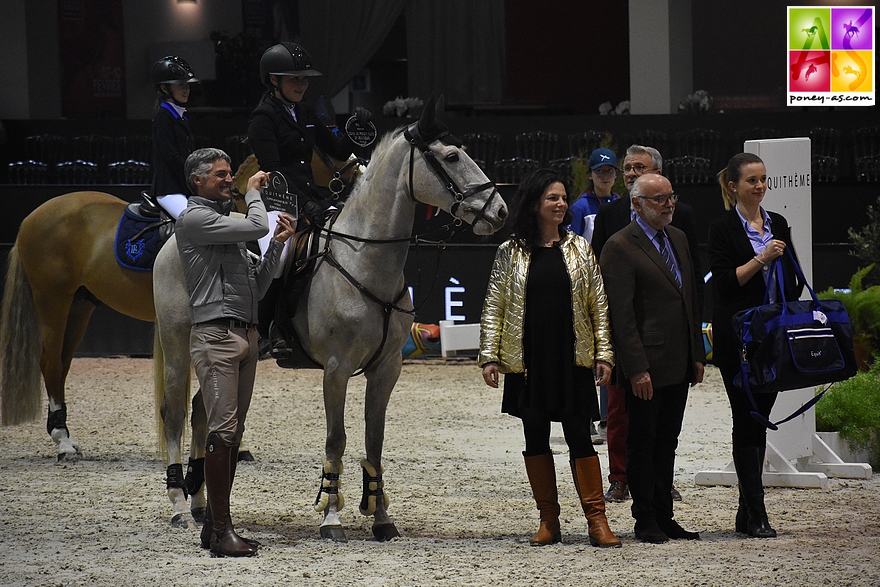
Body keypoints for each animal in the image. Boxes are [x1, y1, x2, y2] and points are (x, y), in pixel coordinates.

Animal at [153, 96, 508, 544]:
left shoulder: (387, 368)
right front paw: (331, 516)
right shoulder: (336, 369)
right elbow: (336, 439)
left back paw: (201, 504)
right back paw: (178, 506)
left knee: (202, 410)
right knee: (174, 414)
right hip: (177, 345)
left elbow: (374, 440)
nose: (500, 211)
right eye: (451, 157)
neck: (363, 260)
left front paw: (380, 517)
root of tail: (173, 239)